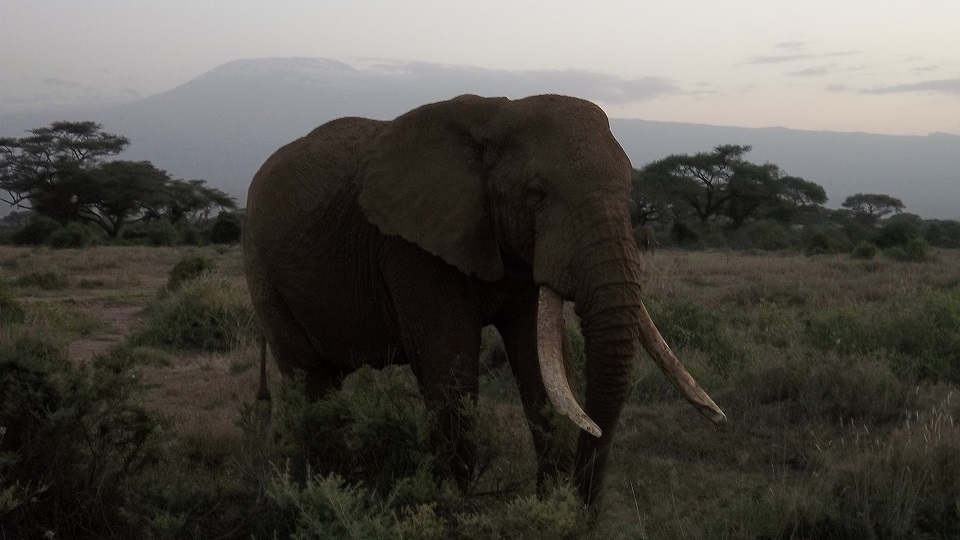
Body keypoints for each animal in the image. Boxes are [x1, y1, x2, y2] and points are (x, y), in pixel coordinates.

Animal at [242, 94, 727, 506]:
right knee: (311, 383)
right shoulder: (412, 248)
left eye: (628, 190)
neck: (497, 115)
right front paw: (451, 510)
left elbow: (543, 369)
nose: (583, 513)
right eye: (536, 193)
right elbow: (450, 373)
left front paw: (550, 508)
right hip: (262, 271)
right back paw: (322, 489)